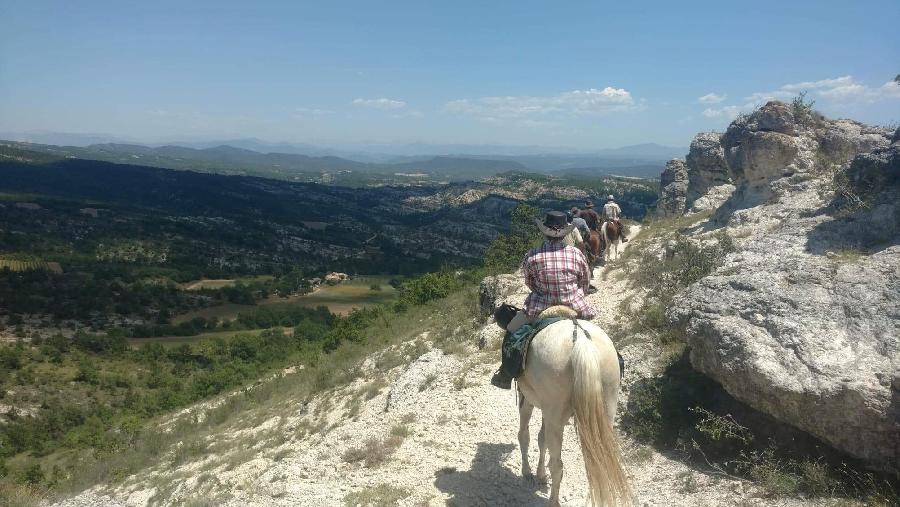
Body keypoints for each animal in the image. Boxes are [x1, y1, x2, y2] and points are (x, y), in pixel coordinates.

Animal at [512, 312, 632, 506]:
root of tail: (581, 338)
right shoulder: (546, 411)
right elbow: (541, 438)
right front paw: (539, 475)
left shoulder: (527, 399)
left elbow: (525, 435)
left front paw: (528, 473)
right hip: (607, 408)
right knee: (597, 461)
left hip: (554, 414)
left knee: (556, 464)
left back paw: (553, 501)